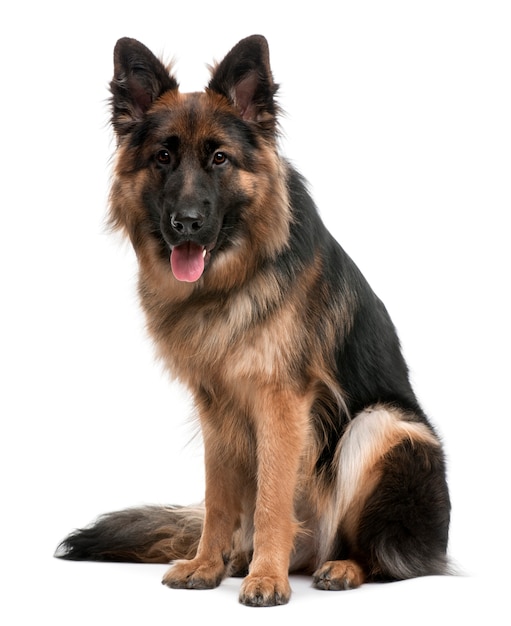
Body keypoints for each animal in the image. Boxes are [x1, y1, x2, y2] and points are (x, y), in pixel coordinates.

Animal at [55, 35, 452, 604]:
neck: (227, 282)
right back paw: (237, 559)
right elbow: (218, 498)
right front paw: (206, 564)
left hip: (383, 426)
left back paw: (339, 567)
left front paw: (267, 577)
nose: (186, 224)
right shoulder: (215, 406)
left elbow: (270, 499)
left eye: (220, 158)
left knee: (383, 554)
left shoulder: (282, 403)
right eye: (162, 158)